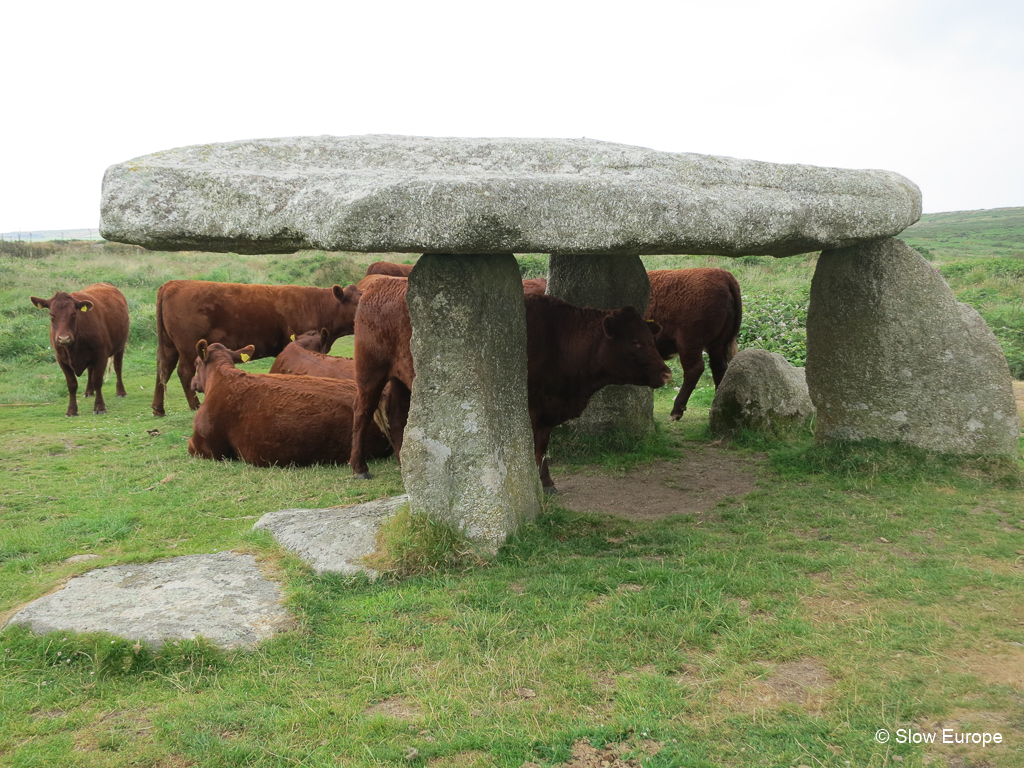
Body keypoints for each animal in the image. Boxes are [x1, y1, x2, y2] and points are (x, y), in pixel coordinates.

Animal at [30, 280, 130, 415]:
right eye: (51, 314)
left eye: (73, 313)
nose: (64, 338)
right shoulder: (61, 359)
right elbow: (72, 384)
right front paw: (71, 410)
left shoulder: (101, 356)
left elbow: (97, 380)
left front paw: (100, 407)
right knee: (90, 370)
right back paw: (88, 392)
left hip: (120, 346)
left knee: (118, 367)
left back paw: (121, 391)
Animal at [149, 280, 362, 417]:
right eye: (358, 301)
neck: (319, 305)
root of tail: (172, 284)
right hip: (187, 347)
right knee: (183, 372)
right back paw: (195, 405)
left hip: (169, 346)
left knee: (163, 370)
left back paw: (158, 409)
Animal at [647, 268, 745, 421]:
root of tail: (724, 274)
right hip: (717, 345)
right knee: (719, 369)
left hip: (688, 342)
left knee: (694, 370)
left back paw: (676, 411)